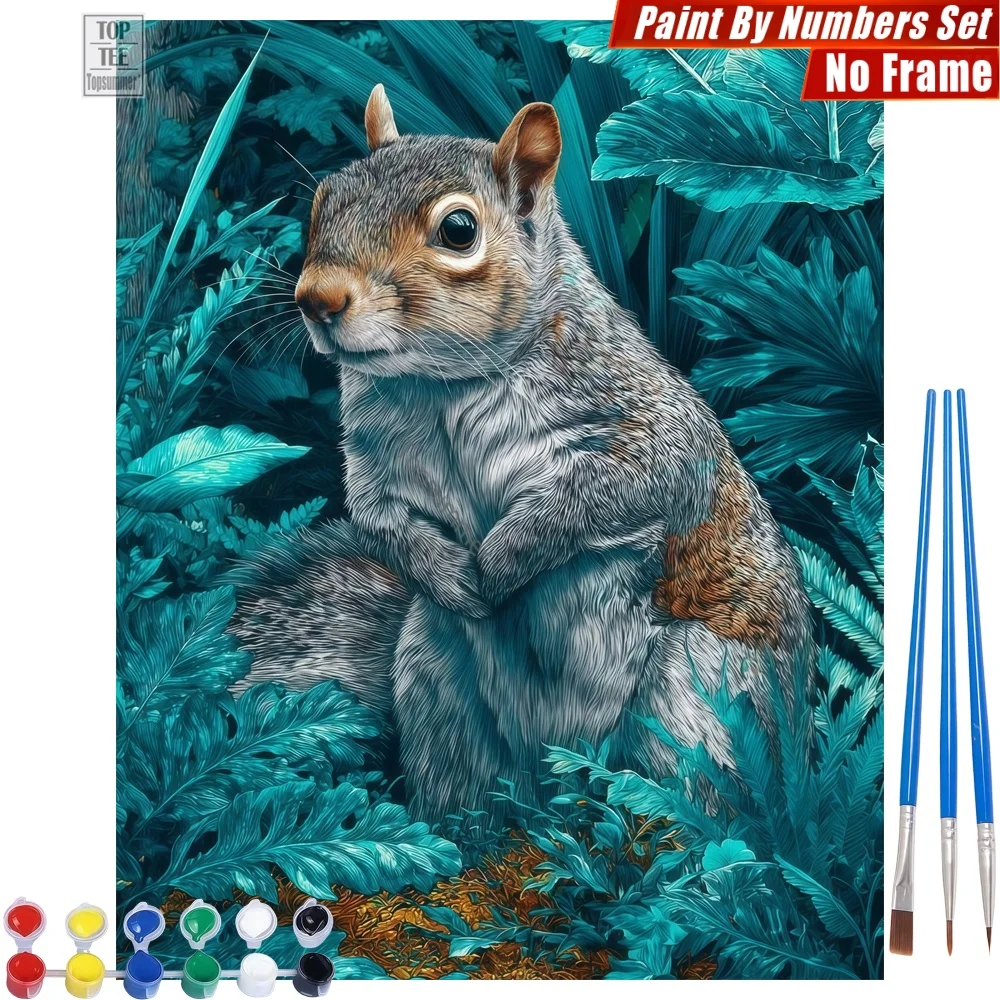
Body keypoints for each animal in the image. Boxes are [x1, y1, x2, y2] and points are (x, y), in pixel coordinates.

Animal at [229, 85, 816, 824]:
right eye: (324, 201)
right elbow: (379, 518)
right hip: (434, 685)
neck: (442, 389)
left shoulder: (648, 425)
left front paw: (502, 561)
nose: (317, 298)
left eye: (458, 230)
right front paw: (454, 576)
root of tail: (554, 772)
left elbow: (616, 488)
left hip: (697, 697)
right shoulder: (375, 463)